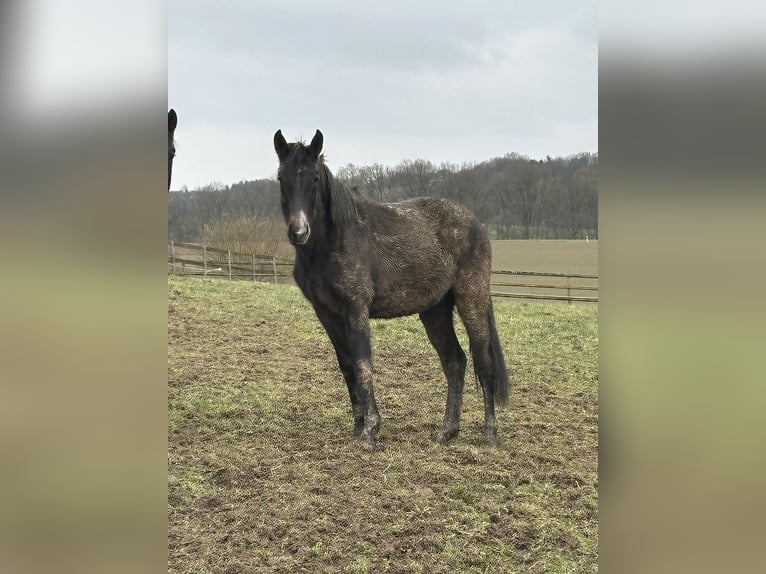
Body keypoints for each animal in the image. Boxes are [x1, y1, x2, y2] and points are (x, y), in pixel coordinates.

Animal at [274, 130, 510, 446]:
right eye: (281, 178)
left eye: (313, 178)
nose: (299, 232)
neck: (333, 240)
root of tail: (476, 225)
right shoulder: (327, 313)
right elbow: (347, 366)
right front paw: (358, 425)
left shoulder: (356, 308)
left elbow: (363, 364)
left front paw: (371, 429)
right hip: (435, 311)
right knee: (454, 361)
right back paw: (447, 431)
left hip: (471, 300)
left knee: (483, 363)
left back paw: (490, 434)